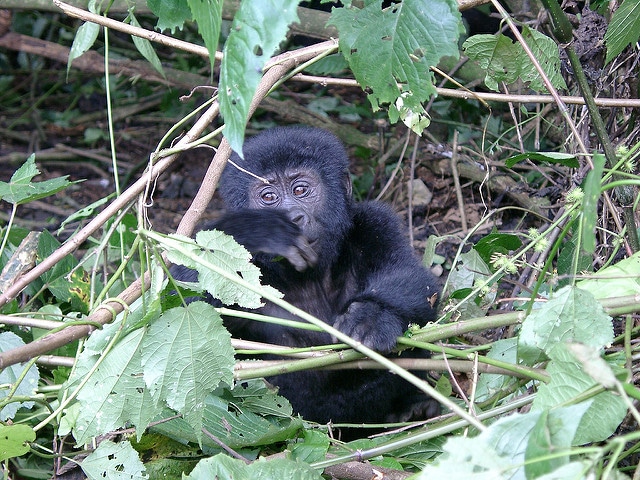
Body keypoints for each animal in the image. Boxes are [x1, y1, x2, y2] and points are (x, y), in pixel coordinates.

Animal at [174, 126, 440, 428]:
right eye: (268, 197)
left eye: (300, 190)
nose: (293, 216)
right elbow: (181, 304)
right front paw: (262, 229)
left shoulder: (376, 220)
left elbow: (413, 278)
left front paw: (372, 316)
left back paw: (413, 408)